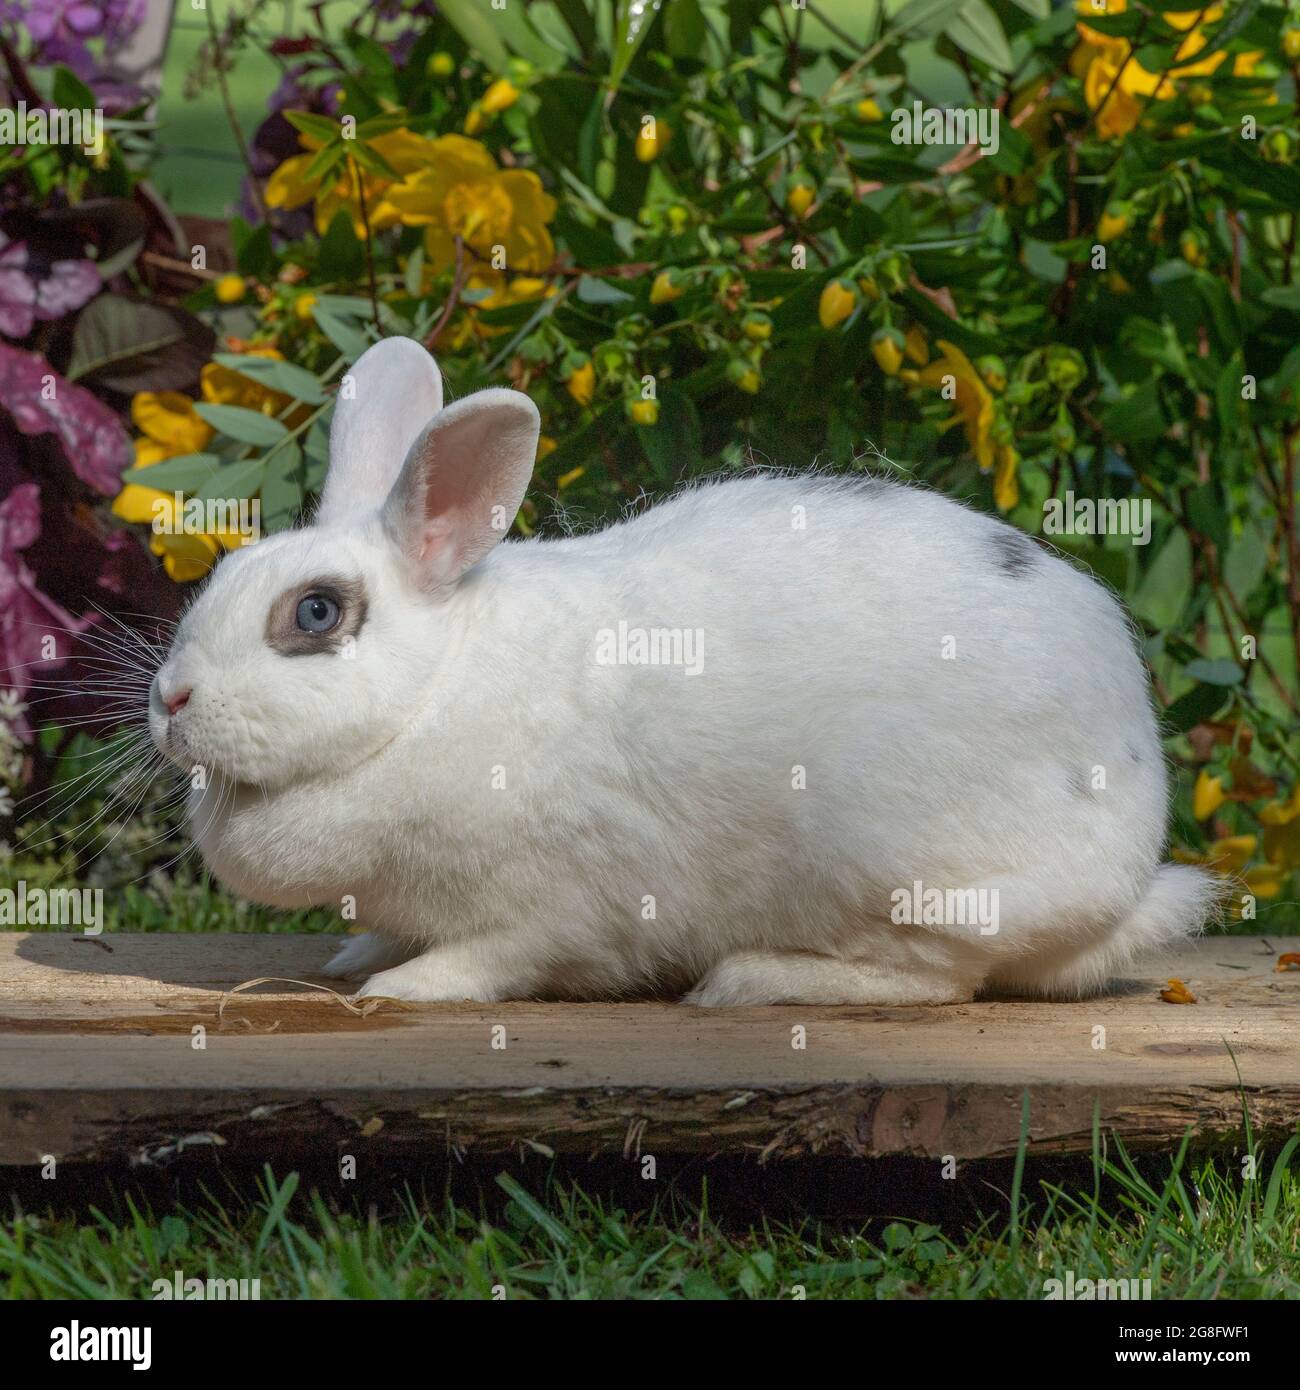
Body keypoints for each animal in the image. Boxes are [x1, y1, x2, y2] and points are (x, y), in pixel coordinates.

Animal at [150, 340, 1217, 1006]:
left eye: (316, 613)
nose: (168, 700)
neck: (428, 699)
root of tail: (1129, 865)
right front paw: (360, 952)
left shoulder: (556, 908)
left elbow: (491, 958)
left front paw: (401, 986)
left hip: (908, 874)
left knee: (941, 978)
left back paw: (754, 981)